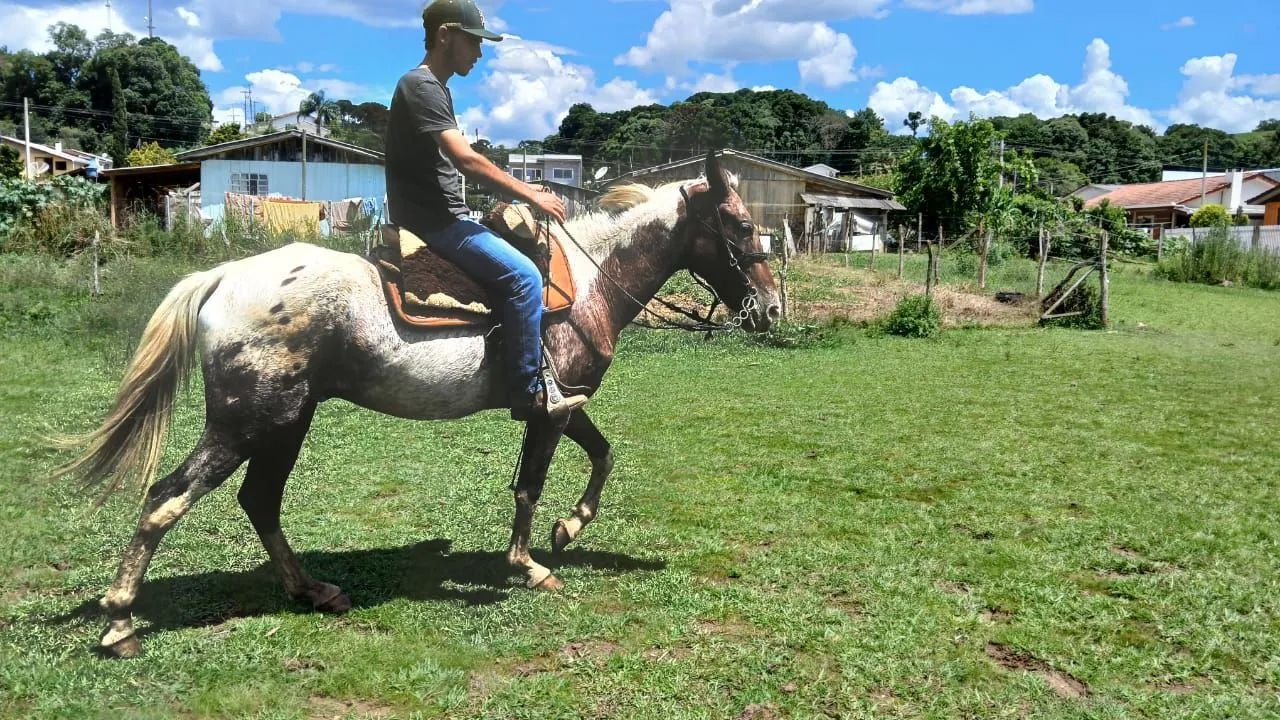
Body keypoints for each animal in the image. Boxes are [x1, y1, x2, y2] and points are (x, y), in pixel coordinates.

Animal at [56, 152, 781, 658]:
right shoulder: (547, 409)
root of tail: (224, 277)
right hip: (244, 424)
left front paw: (567, 530)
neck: (587, 283)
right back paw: (120, 622)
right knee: (166, 498)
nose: (772, 309)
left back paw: (312, 590)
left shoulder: (561, 405)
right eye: (743, 225)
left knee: (258, 500)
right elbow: (530, 485)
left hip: (286, 422)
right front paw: (530, 566)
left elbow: (603, 456)